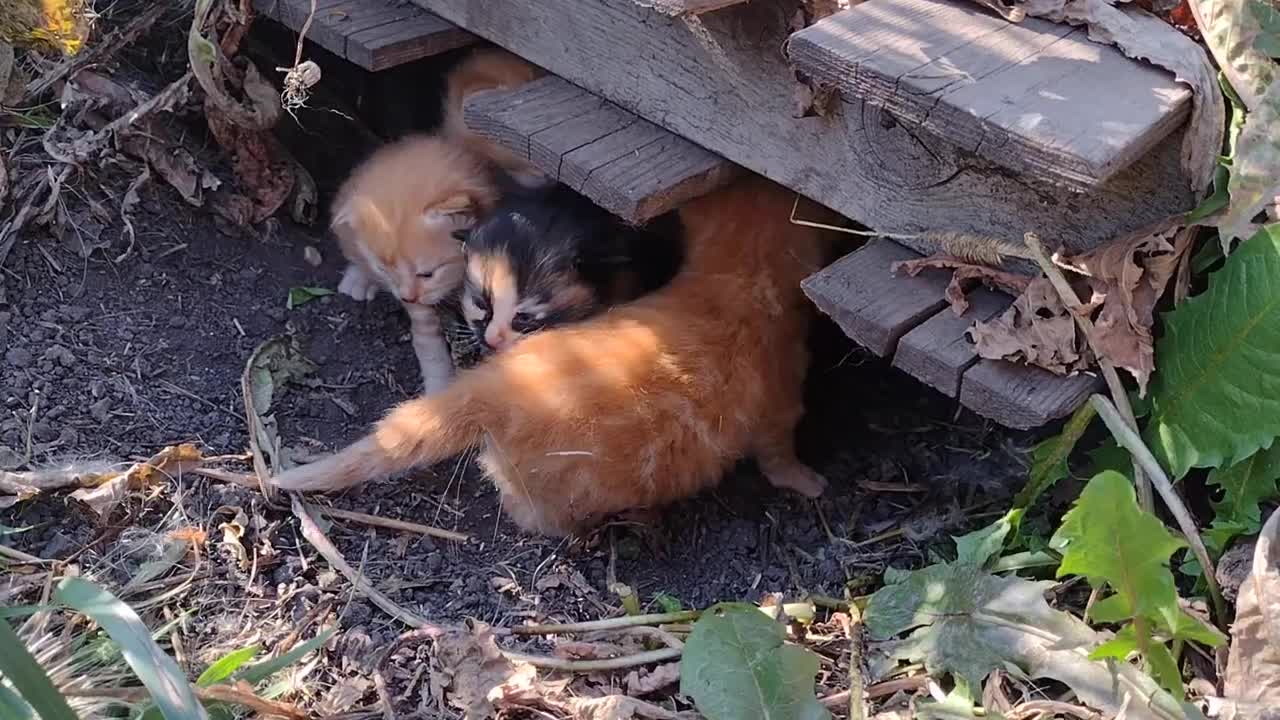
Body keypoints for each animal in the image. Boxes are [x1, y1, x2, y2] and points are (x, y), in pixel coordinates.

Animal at [330, 47, 545, 392]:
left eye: (427, 273)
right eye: (386, 270)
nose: (406, 296)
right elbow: (426, 336)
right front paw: (438, 381)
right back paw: (357, 278)